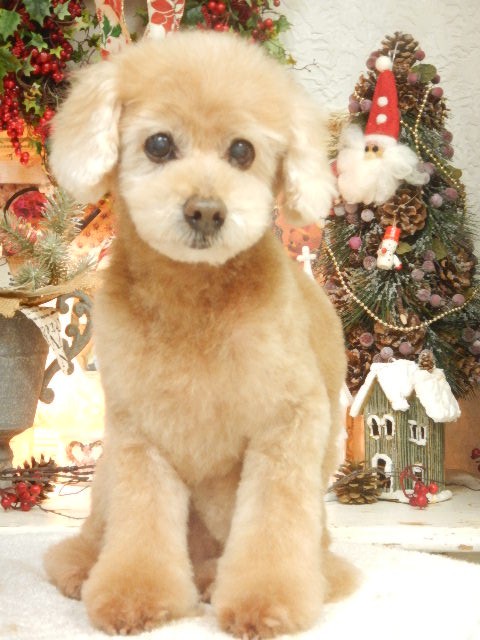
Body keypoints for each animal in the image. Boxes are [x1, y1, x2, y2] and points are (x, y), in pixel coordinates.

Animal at [44, 31, 356, 637]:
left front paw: (266, 601)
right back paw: (81, 567)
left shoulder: (288, 423)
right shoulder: (140, 432)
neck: (194, 299)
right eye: (160, 144)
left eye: (243, 151)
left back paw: (227, 579)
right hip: (105, 473)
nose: (206, 211)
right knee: (95, 534)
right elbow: (141, 525)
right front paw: (136, 595)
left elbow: (273, 524)